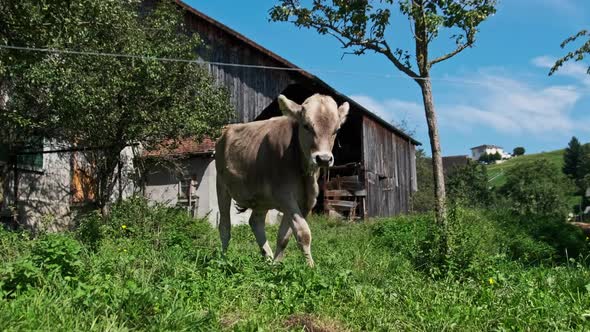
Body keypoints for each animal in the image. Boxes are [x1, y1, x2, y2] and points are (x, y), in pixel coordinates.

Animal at [215, 94, 350, 268]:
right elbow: (303, 233)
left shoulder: (305, 202)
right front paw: (311, 268)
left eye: (337, 130)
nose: (324, 159)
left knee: (255, 222)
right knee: (225, 226)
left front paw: (276, 265)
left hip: (261, 198)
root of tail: (225, 132)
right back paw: (223, 259)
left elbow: (284, 237)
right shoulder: (285, 196)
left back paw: (268, 258)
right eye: (306, 126)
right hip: (221, 186)